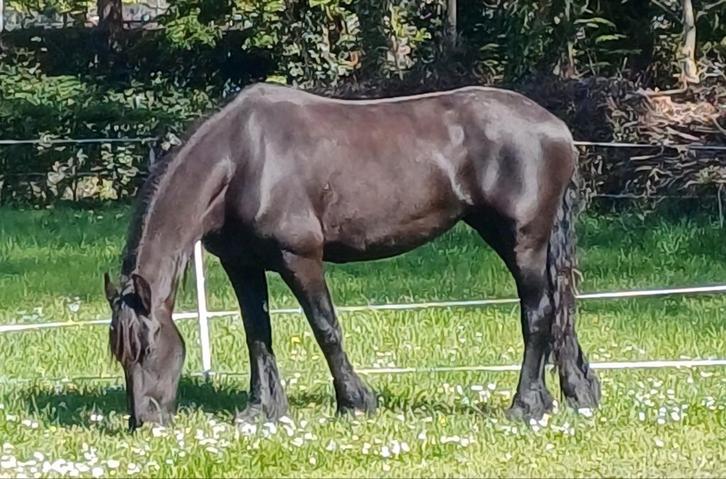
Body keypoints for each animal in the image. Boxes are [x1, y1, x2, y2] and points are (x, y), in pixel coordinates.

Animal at [103, 83, 601, 431]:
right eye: (120, 354)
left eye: (147, 348)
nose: (143, 421)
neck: (243, 158)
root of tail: (557, 129)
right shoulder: (242, 265)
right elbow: (256, 334)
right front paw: (262, 409)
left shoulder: (299, 258)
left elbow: (326, 328)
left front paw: (355, 402)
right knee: (558, 312)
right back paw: (574, 393)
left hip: (522, 242)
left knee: (538, 313)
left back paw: (525, 405)